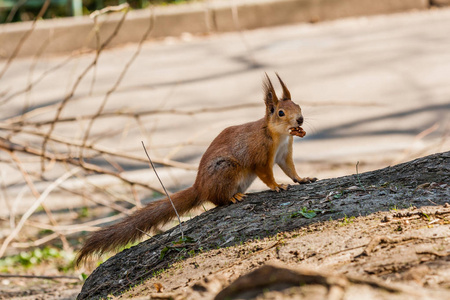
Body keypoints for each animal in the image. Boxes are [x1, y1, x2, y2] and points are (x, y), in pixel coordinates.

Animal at [75, 73, 316, 264]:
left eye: (298, 106)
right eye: (280, 113)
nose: (300, 120)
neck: (278, 135)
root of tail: (199, 187)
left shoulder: (284, 153)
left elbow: (290, 169)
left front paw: (303, 179)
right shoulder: (260, 154)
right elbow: (266, 173)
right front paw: (276, 186)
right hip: (227, 169)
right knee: (218, 199)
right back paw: (233, 197)